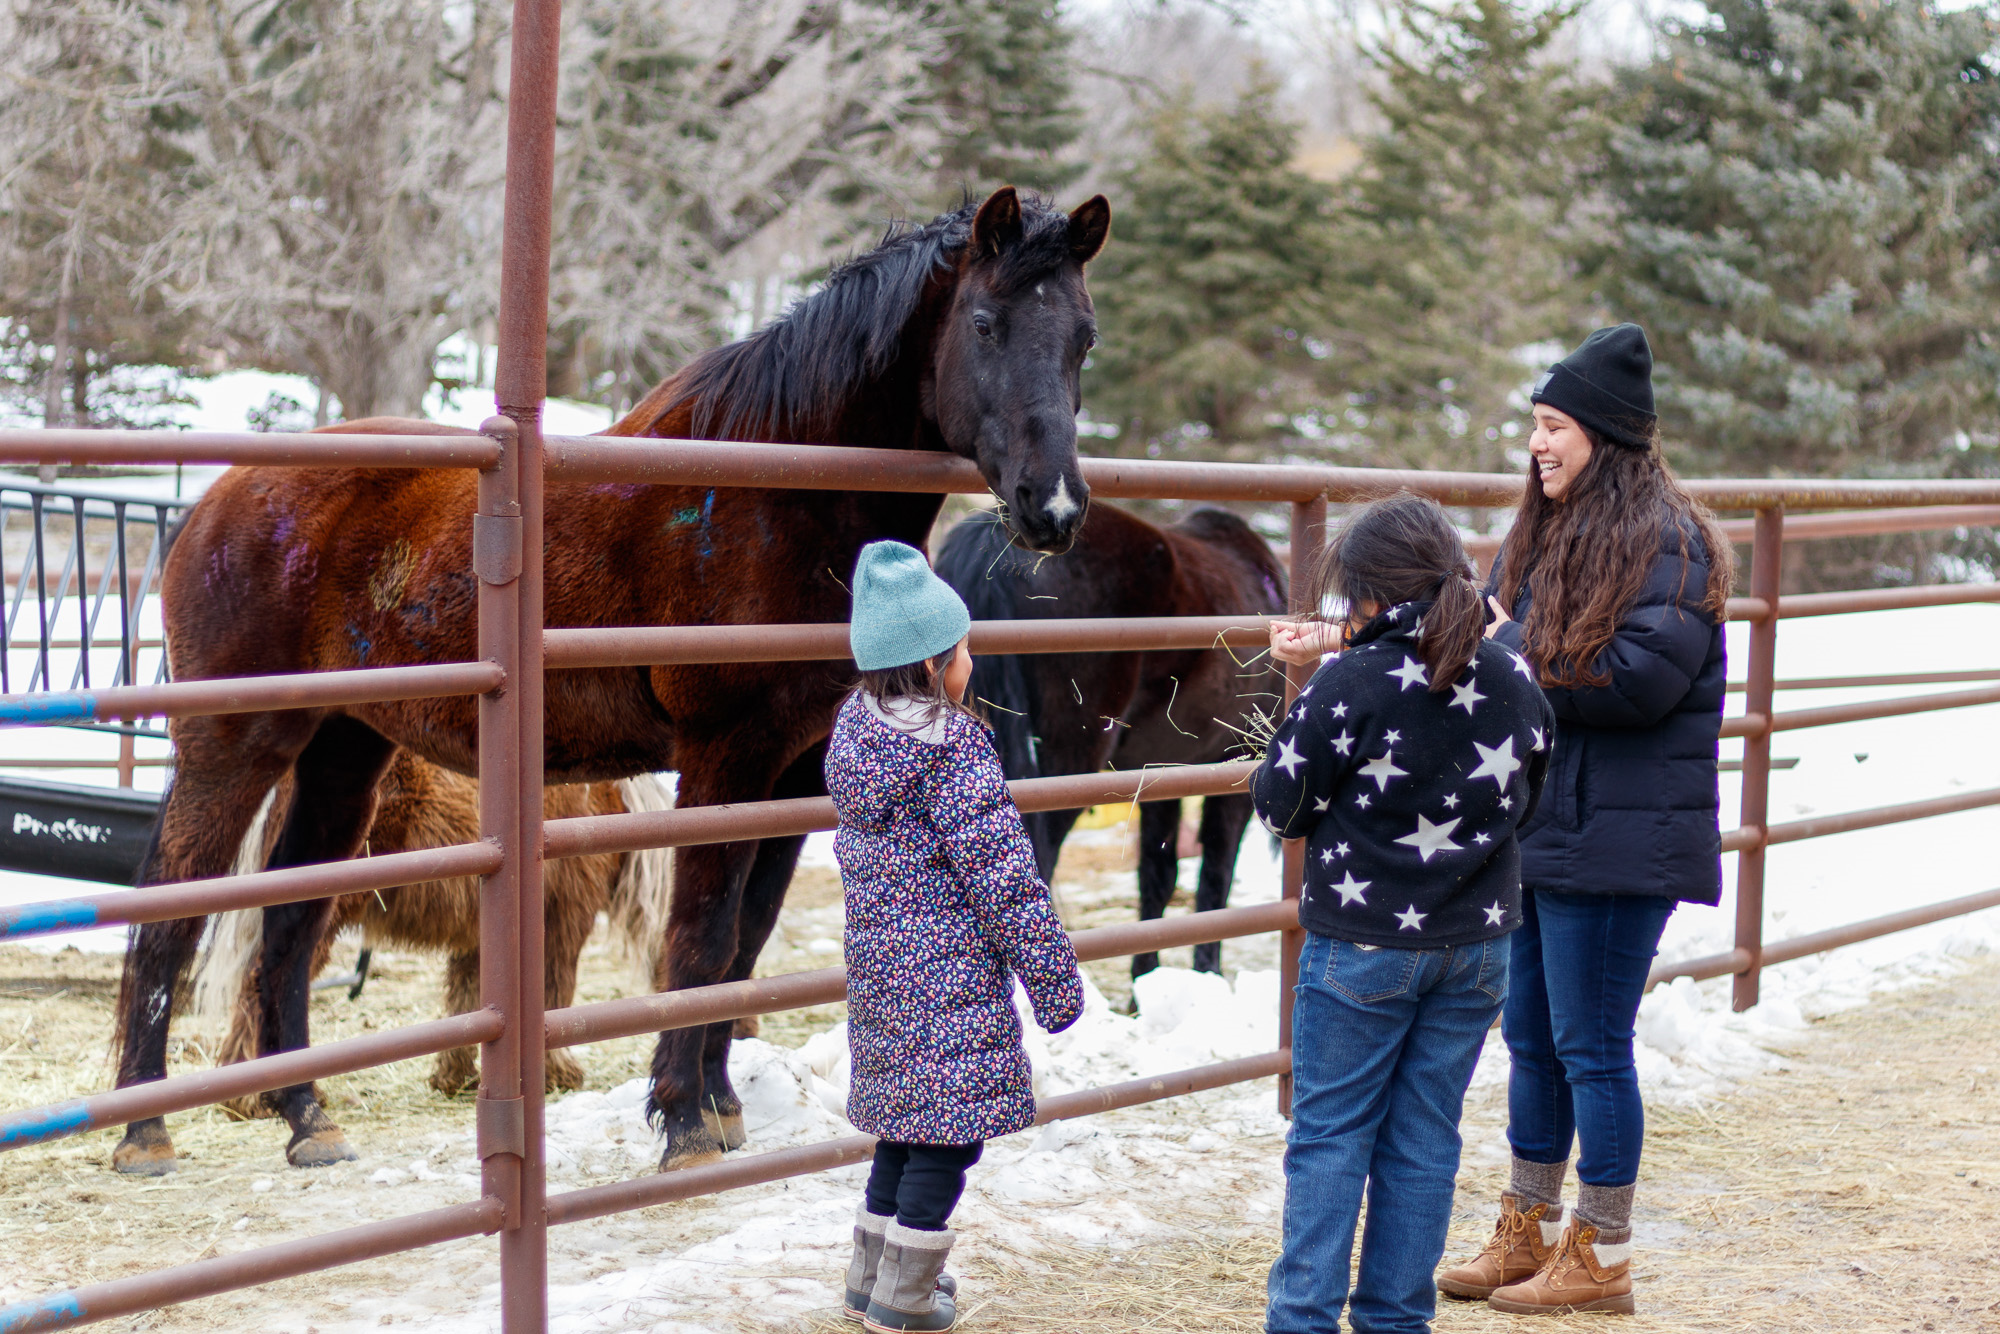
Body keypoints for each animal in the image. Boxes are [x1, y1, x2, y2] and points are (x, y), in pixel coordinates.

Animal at [194, 752, 676, 1120]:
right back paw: (263, 1099)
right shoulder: (561, 919)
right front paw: (556, 1072)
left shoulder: (484, 935)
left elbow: (470, 998)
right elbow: (554, 994)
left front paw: (457, 1078)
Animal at [932, 500, 1280, 980]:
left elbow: (1158, 876)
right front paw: (1205, 974)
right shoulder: (1236, 771)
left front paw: (1146, 981)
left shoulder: (1161, 774)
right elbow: (1215, 877)